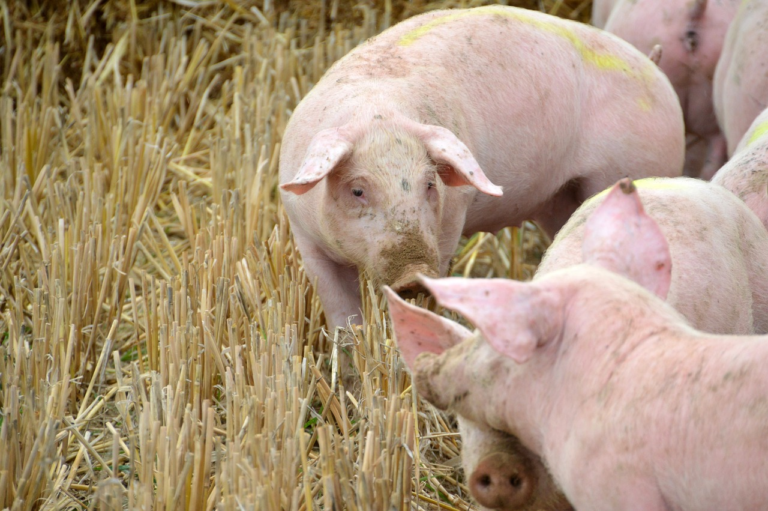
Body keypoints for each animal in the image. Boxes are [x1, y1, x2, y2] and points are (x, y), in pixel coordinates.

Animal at [278, 4, 684, 330]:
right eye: (358, 190)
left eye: (430, 184)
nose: (414, 273)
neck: (375, 114)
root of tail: (655, 69)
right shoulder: (305, 240)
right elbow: (343, 318)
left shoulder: (450, 221)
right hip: (560, 201)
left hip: (635, 165)